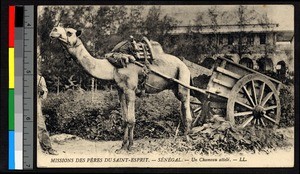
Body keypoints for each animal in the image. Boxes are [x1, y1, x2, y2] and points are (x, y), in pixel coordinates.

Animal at [49, 25, 192, 151]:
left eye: (69, 32)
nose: (54, 30)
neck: (113, 67)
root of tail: (184, 64)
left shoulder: (130, 90)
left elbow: (131, 120)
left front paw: (130, 146)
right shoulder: (121, 90)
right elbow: (124, 119)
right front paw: (122, 146)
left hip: (183, 78)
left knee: (186, 106)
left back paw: (187, 140)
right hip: (174, 87)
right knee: (182, 108)